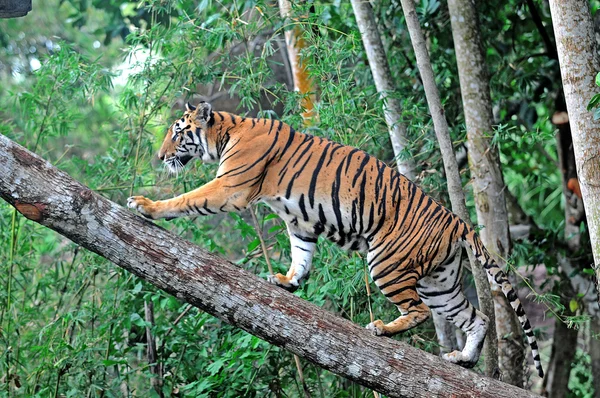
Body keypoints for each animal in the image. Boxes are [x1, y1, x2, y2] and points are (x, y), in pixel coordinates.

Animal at [129, 101, 548, 378]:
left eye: (177, 132)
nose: (160, 156)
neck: (227, 132)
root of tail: (457, 220)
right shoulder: (299, 220)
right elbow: (301, 254)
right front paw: (288, 282)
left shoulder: (229, 188)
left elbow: (187, 199)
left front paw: (146, 205)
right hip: (439, 282)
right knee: (477, 317)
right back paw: (463, 359)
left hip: (387, 263)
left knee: (419, 312)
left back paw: (383, 328)